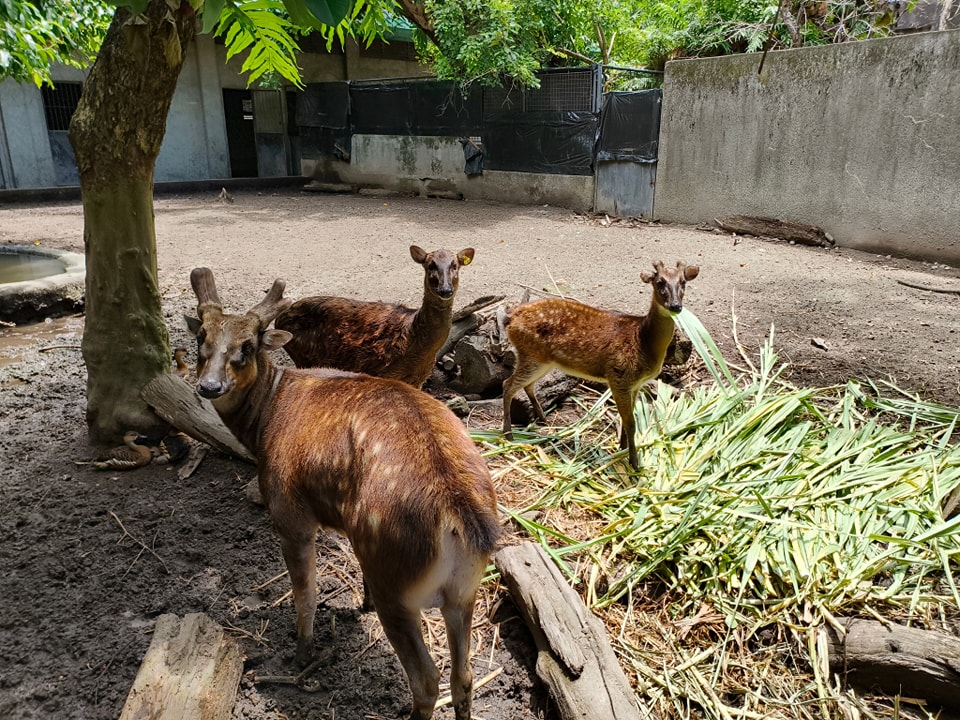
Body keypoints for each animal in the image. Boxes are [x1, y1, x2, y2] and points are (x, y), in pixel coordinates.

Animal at [185, 267, 499, 720]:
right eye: (200, 338)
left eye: (247, 346)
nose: (209, 386)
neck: (265, 418)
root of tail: (462, 514)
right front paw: (359, 604)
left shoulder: (289, 510)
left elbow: (306, 593)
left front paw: (301, 651)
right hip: (464, 590)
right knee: (464, 676)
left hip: (397, 581)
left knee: (426, 680)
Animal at [275, 246, 475, 388]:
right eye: (431, 265)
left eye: (455, 265)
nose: (445, 290)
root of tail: (279, 319)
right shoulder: (379, 370)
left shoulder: (418, 380)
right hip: (302, 355)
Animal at [501, 260, 699, 471]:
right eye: (660, 282)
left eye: (683, 282)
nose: (676, 306)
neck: (643, 341)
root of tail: (511, 319)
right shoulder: (618, 376)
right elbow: (630, 422)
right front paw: (634, 463)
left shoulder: (635, 384)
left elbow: (627, 419)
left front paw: (622, 448)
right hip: (531, 355)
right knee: (508, 384)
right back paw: (508, 435)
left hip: (542, 360)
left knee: (526, 385)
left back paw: (543, 421)